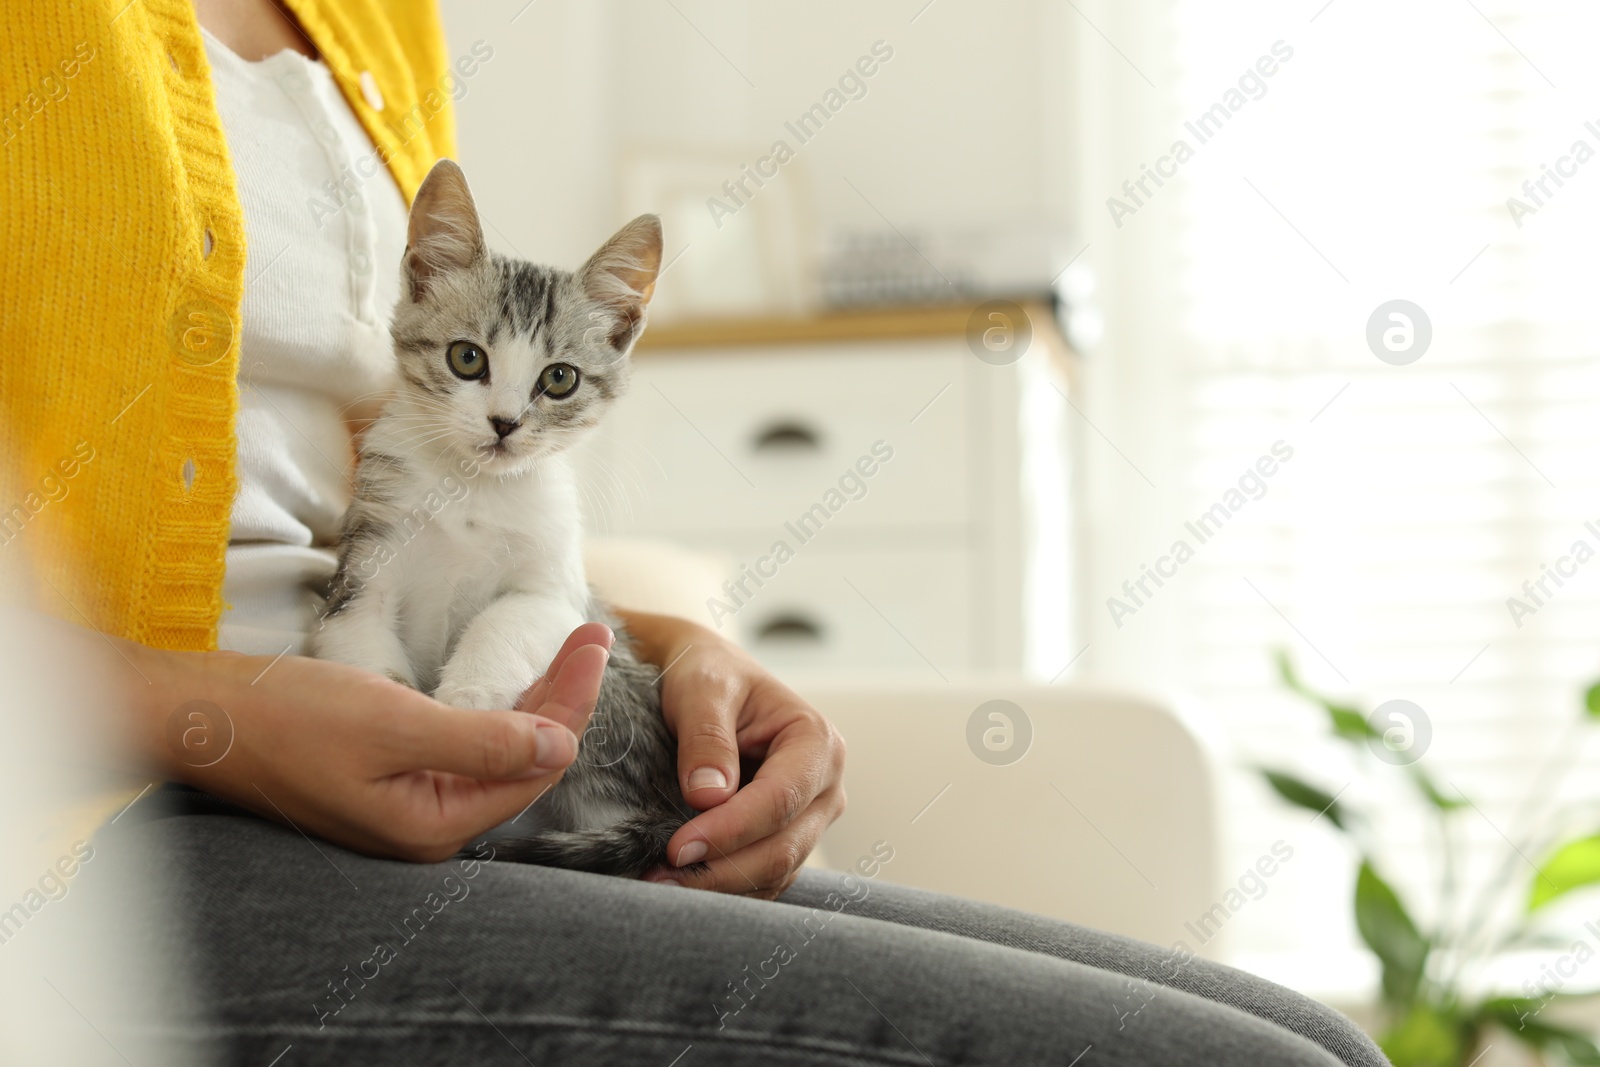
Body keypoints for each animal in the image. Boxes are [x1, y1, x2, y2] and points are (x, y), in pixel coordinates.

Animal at [308, 156, 691, 876]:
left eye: (560, 378)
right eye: (467, 358)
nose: (505, 423)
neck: (471, 489)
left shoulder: (558, 589)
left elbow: (510, 618)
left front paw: (471, 696)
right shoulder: (364, 563)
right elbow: (359, 639)